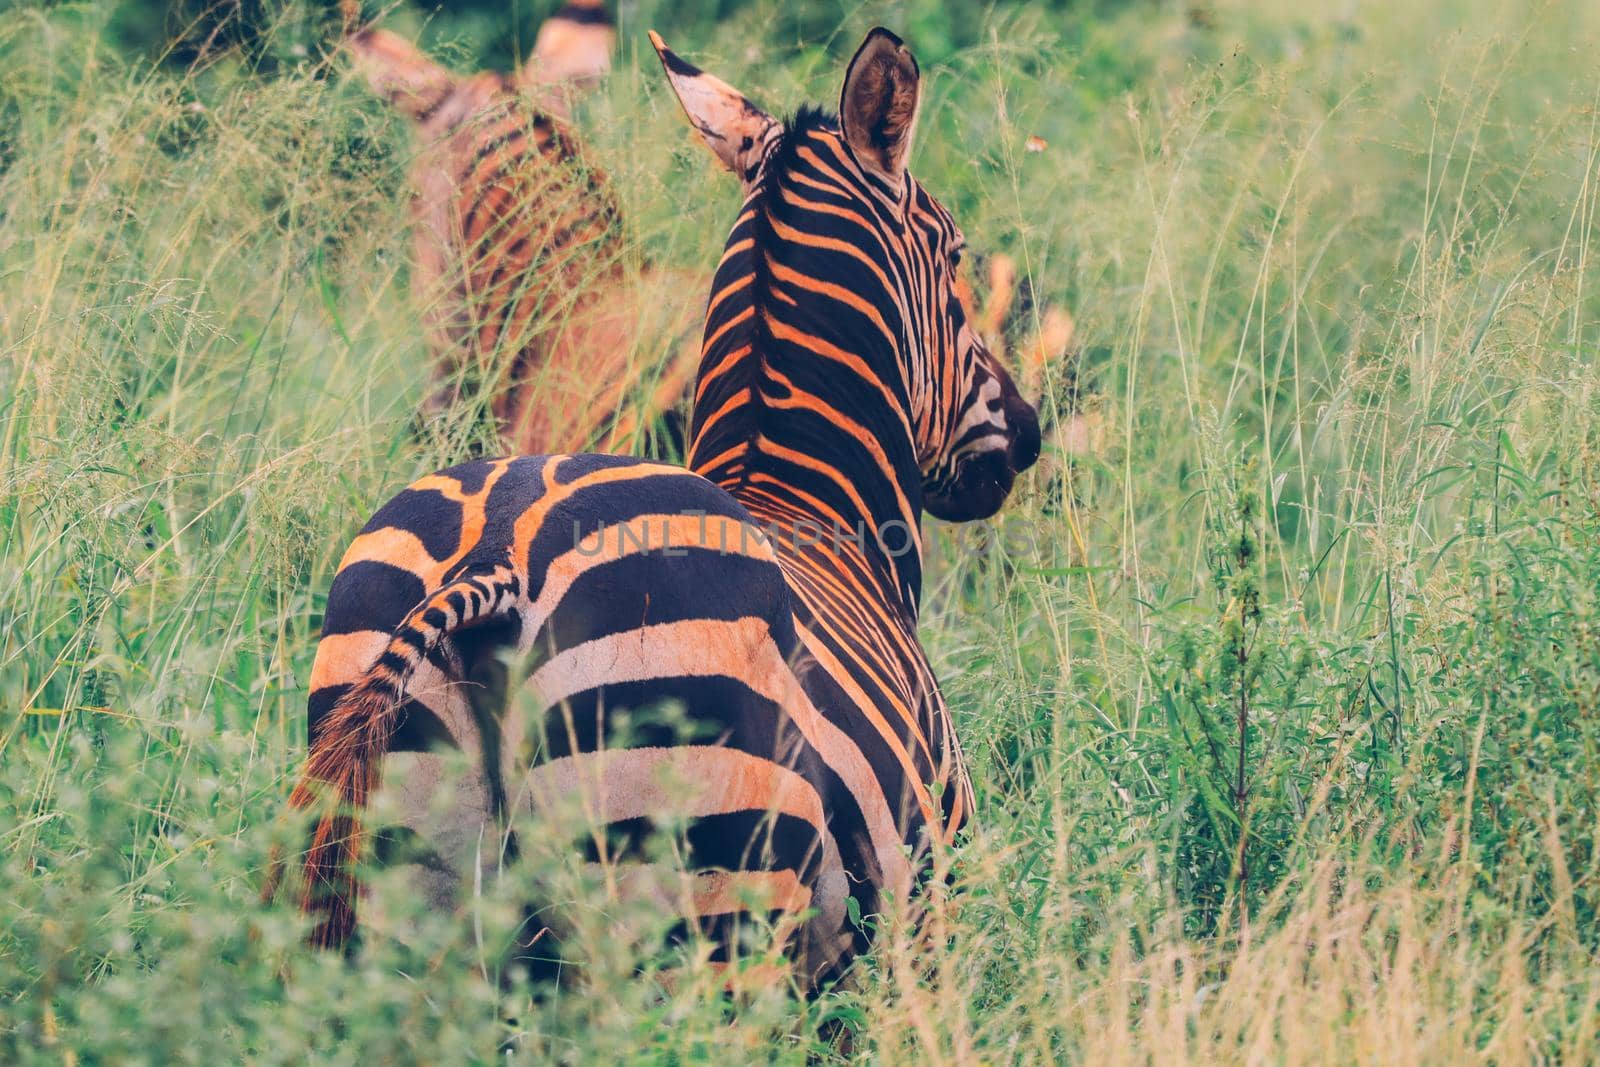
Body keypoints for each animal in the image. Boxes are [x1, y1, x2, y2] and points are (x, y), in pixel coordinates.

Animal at [281, 27, 1043, 991]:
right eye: (954, 257)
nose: (1025, 432)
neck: (809, 503)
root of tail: (496, 557)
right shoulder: (926, 914)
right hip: (704, 914)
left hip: (417, 907)